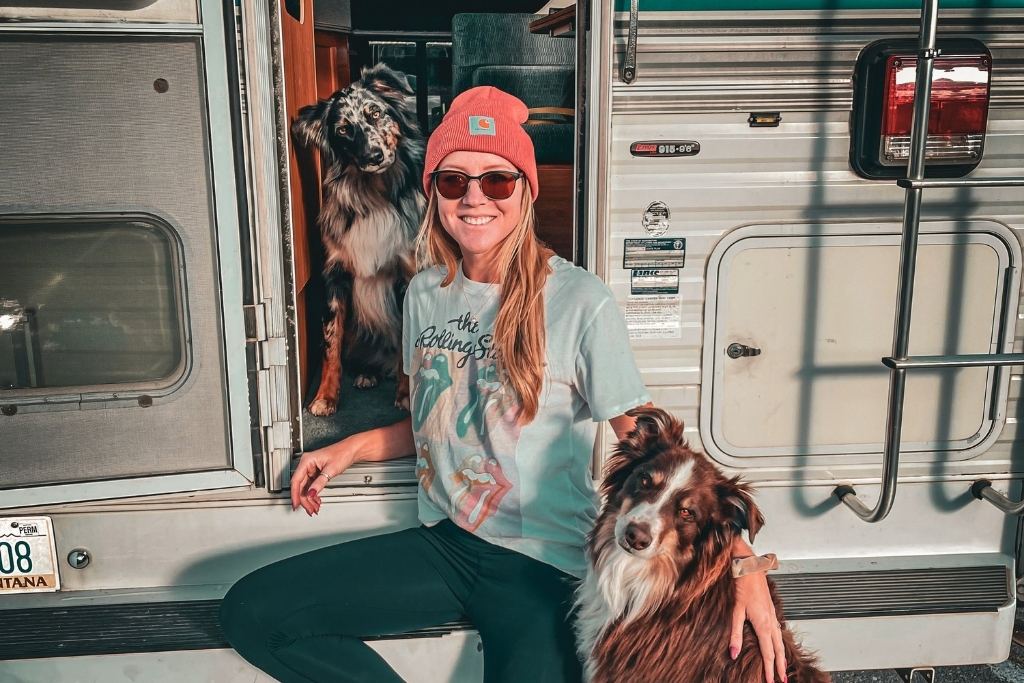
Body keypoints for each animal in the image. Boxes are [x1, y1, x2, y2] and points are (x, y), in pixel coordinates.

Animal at [292, 63, 423, 417]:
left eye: (375, 113)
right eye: (343, 130)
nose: (374, 155)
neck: (373, 195)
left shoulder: (407, 275)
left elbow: (406, 342)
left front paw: (405, 396)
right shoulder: (335, 277)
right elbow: (330, 344)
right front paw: (325, 396)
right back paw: (367, 374)